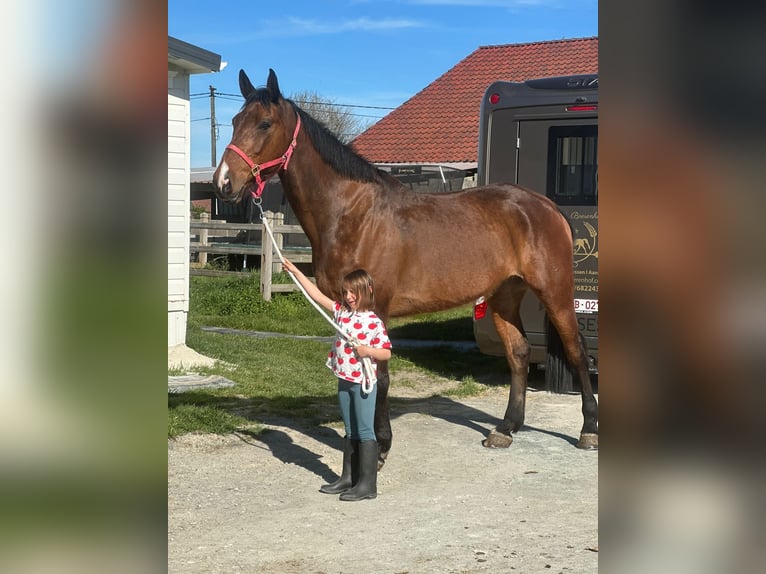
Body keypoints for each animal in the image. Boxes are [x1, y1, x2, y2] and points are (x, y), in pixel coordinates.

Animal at [212, 69, 598, 467]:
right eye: (235, 121)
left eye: (264, 123)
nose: (224, 182)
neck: (353, 214)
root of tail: (546, 206)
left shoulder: (375, 308)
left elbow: (379, 376)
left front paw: (380, 448)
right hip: (504, 294)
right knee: (519, 353)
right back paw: (505, 429)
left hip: (554, 291)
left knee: (576, 351)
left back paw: (588, 430)